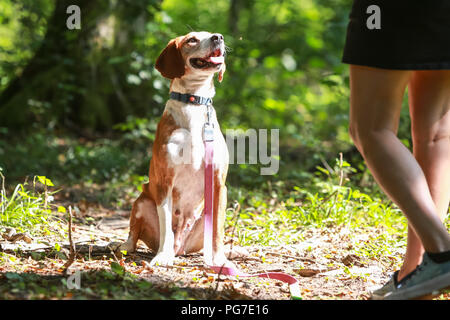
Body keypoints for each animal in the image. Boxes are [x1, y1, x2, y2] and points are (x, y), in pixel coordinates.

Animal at [118, 32, 232, 268]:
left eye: (211, 34)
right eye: (192, 40)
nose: (218, 37)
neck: (194, 104)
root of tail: (181, 247)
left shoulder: (219, 184)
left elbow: (218, 230)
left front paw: (220, 259)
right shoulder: (164, 183)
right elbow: (166, 228)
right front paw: (163, 257)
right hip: (141, 202)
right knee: (134, 234)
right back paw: (127, 247)